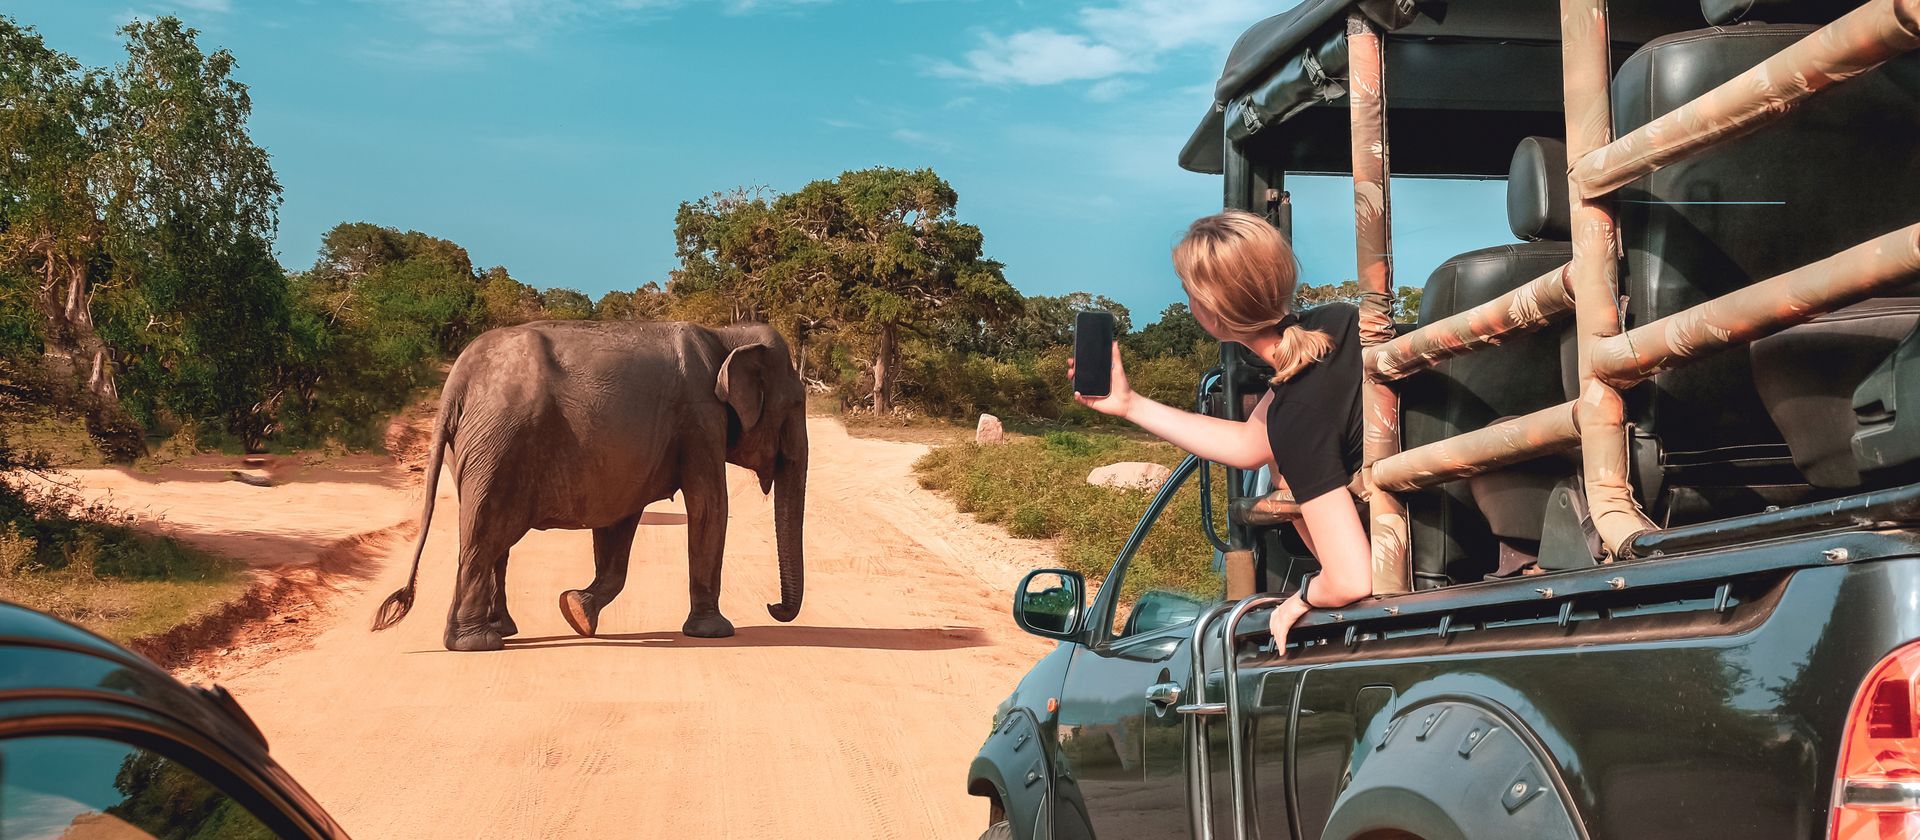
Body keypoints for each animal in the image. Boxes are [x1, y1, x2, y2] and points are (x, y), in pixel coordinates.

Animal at [369, 320, 807, 652]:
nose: (772, 606)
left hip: (479, 448)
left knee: (493, 540)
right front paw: (715, 633)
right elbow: (709, 506)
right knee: (485, 534)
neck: (728, 336)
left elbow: (620, 521)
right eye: (796, 405)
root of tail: (457, 380)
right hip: (499, 444)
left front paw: (576, 611)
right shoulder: (700, 419)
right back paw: (478, 643)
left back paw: (502, 630)